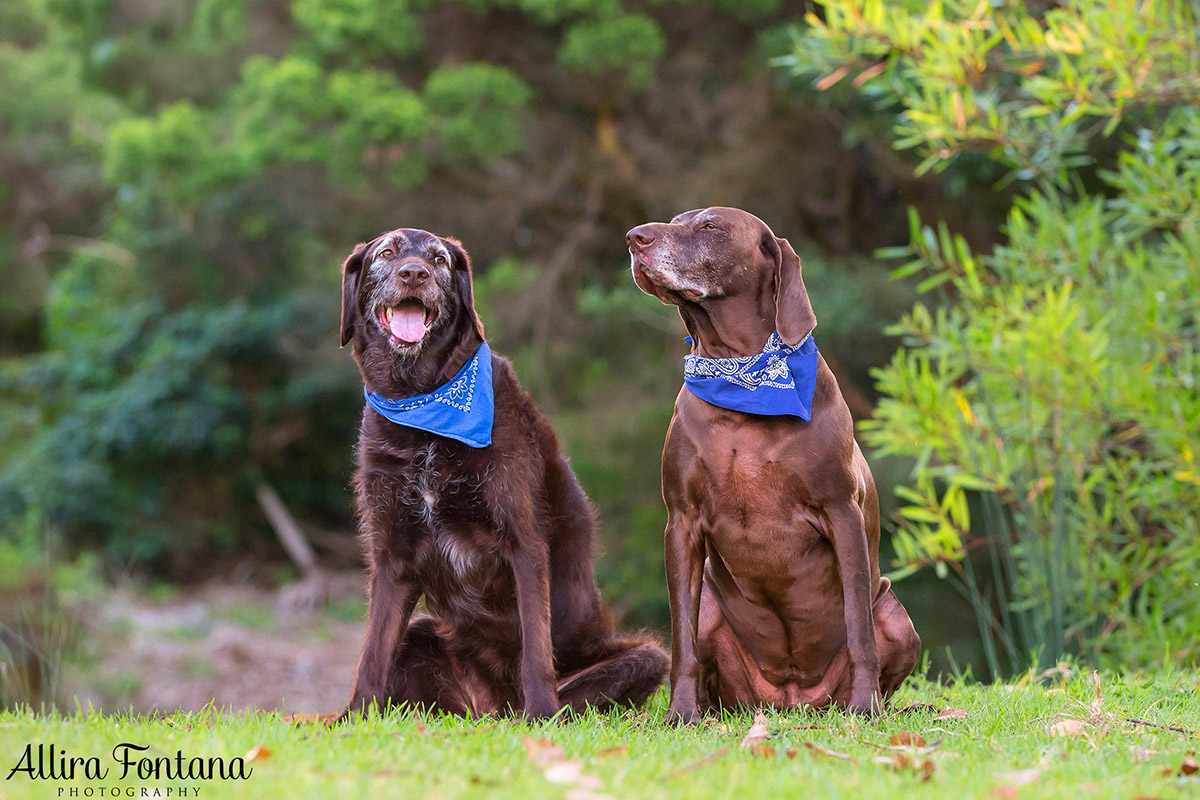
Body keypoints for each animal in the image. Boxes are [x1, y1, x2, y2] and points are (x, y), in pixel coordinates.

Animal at [343, 225, 672, 719]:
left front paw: (542, 716)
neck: (423, 406)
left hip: (647, 656)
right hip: (423, 635)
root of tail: (491, 707)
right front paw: (353, 719)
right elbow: (372, 653)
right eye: (386, 253)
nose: (415, 273)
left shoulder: (524, 542)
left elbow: (535, 647)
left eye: (439, 260)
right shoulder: (392, 554)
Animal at [628, 206, 916, 719]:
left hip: (895, 616)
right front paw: (680, 714)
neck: (742, 375)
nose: (634, 238)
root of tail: (791, 699)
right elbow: (681, 644)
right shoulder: (681, 523)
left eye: (710, 226)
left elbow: (859, 631)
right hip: (712, 612)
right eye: (675, 220)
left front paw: (865, 707)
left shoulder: (842, 512)